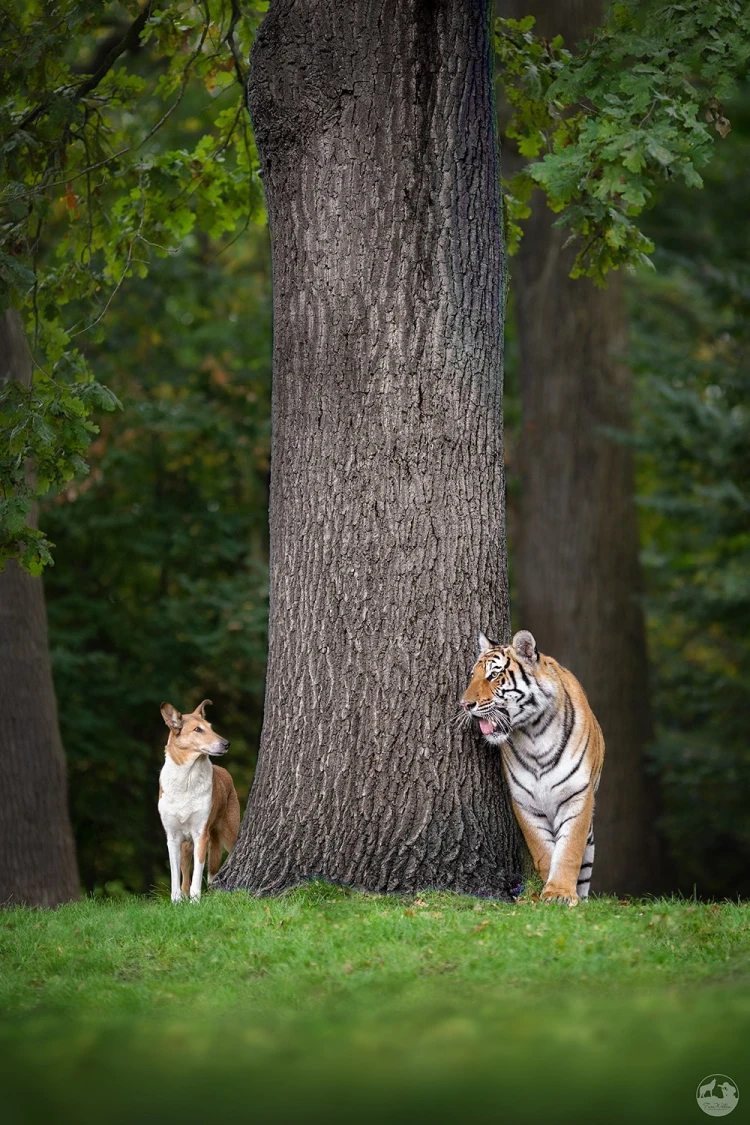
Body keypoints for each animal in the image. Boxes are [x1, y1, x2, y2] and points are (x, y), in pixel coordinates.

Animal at [158, 697, 240, 900]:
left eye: (210, 727)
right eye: (197, 729)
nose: (226, 744)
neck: (187, 778)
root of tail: (224, 771)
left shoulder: (201, 835)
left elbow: (197, 873)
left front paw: (195, 901)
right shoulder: (173, 838)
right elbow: (175, 875)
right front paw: (176, 900)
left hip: (229, 833)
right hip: (186, 845)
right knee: (185, 875)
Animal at [461, 634, 607, 904]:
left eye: (493, 675)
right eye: (472, 676)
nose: (465, 704)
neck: (534, 733)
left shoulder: (577, 796)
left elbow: (569, 849)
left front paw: (560, 893)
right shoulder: (525, 802)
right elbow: (543, 850)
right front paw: (548, 890)